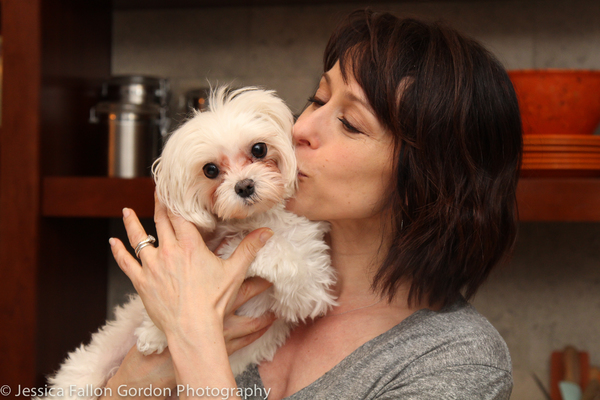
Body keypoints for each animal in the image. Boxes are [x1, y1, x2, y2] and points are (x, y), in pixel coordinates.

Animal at [38, 88, 338, 400]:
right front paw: (153, 333)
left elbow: (281, 254)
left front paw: (234, 247)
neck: (253, 218)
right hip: (97, 357)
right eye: (210, 170)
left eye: (259, 149)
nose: (244, 186)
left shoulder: (311, 286)